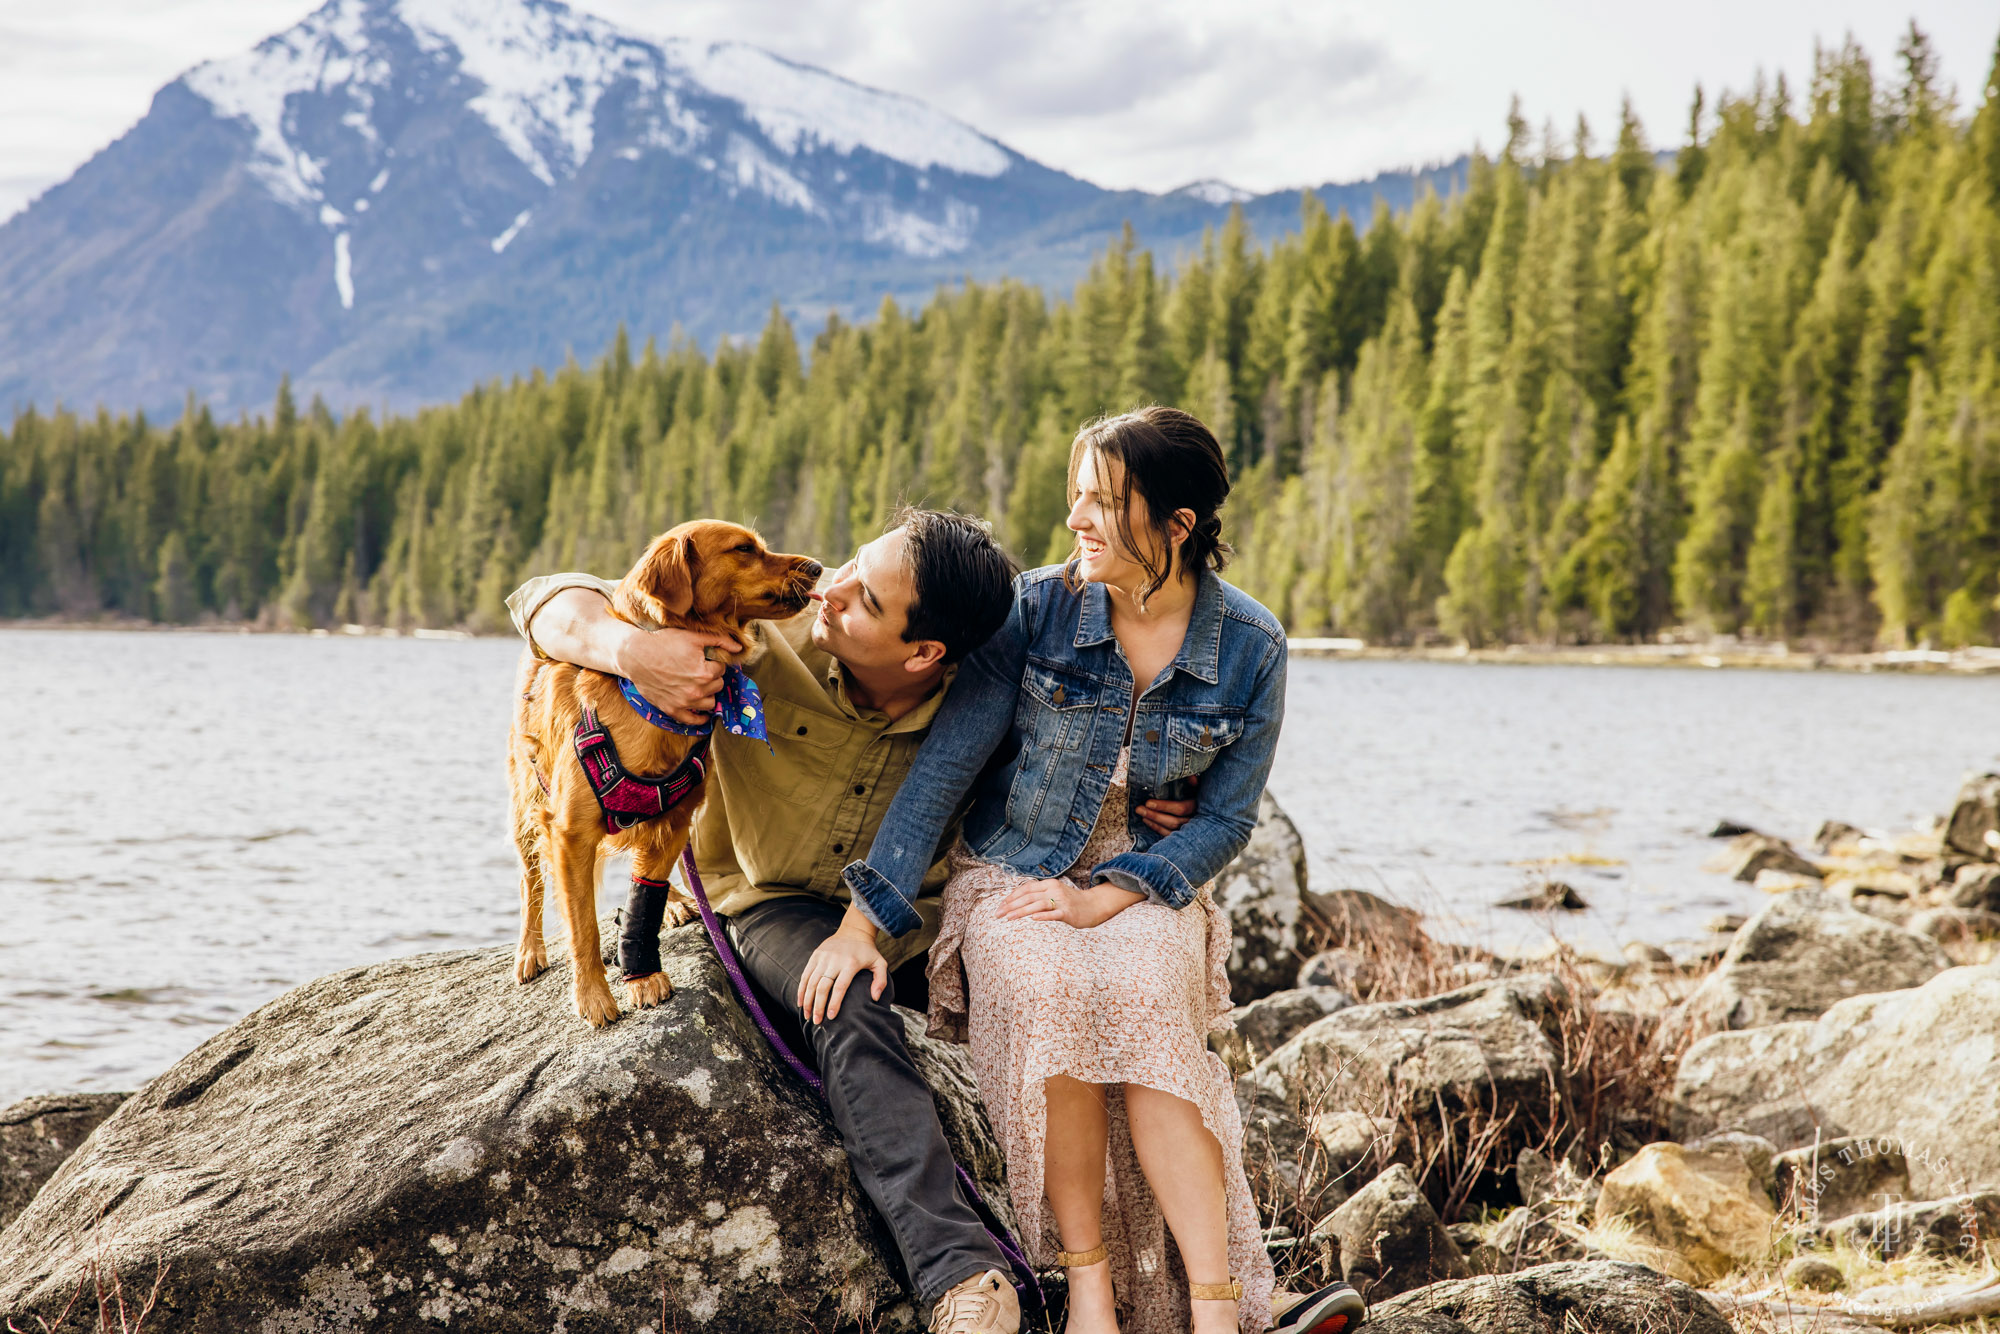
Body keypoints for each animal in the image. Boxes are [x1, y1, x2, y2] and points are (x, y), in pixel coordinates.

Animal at [508, 520, 820, 1032]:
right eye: (744, 549)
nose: (816, 567)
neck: (645, 704)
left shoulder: (675, 819)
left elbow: (644, 896)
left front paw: (642, 973)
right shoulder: (570, 833)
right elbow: (584, 925)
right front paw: (593, 996)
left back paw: (675, 900)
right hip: (526, 803)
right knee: (531, 882)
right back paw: (529, 950)